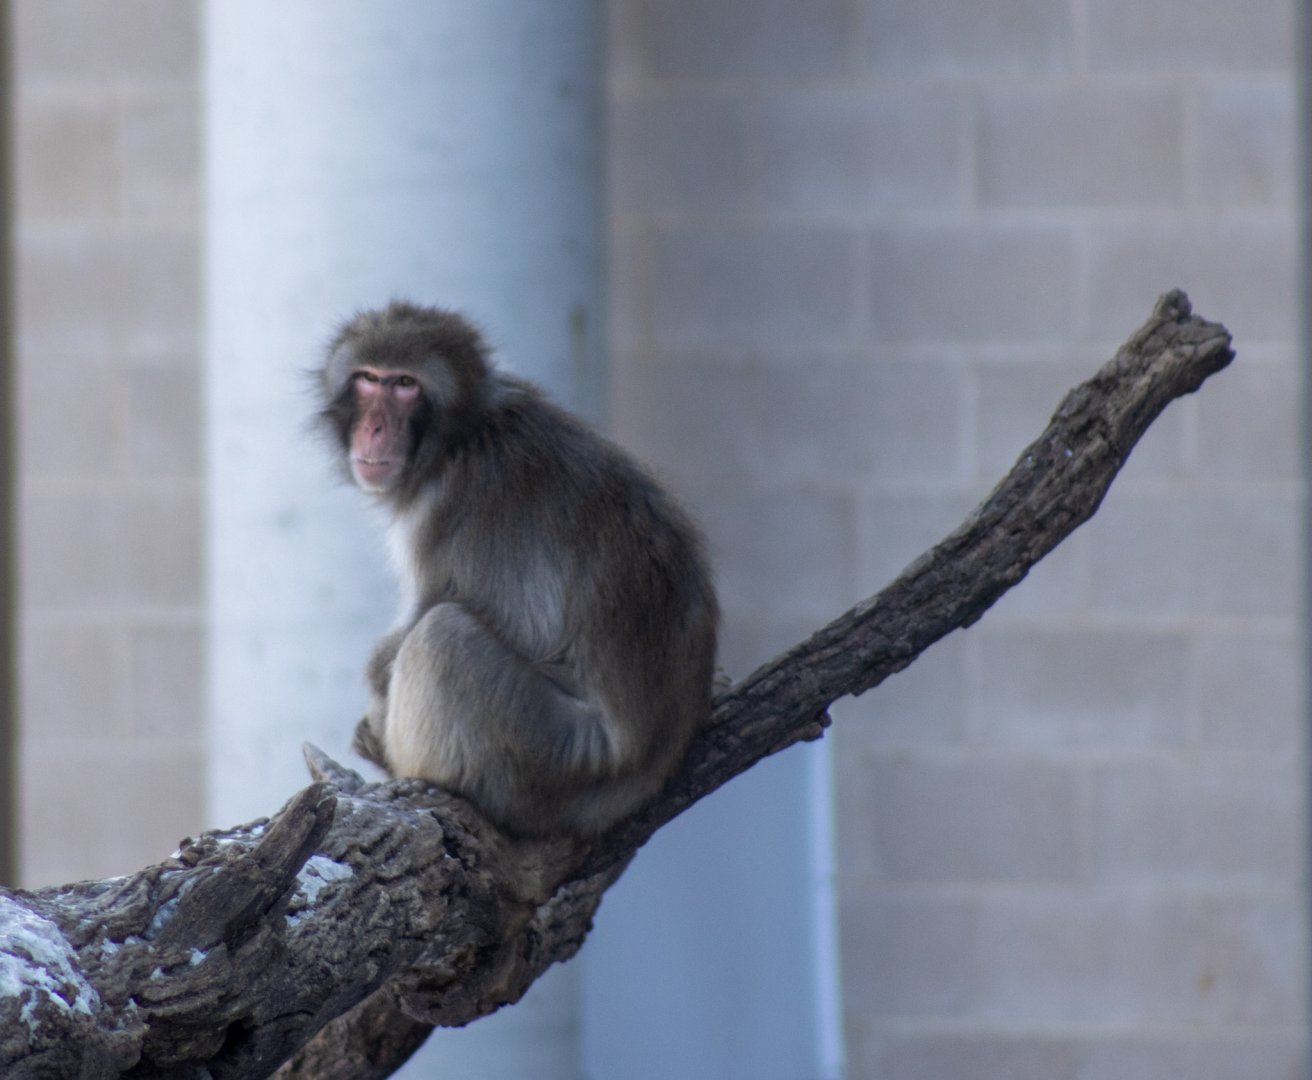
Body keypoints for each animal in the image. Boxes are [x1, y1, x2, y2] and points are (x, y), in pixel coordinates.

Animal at [316, 301, 718, 836]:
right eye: (367, 379)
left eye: (404, 384)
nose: (375, 428)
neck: (465, 435)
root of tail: (642, 775)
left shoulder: (449, 506)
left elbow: (450, 619)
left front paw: (375, 695)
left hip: (548, 751)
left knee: (443, 634)